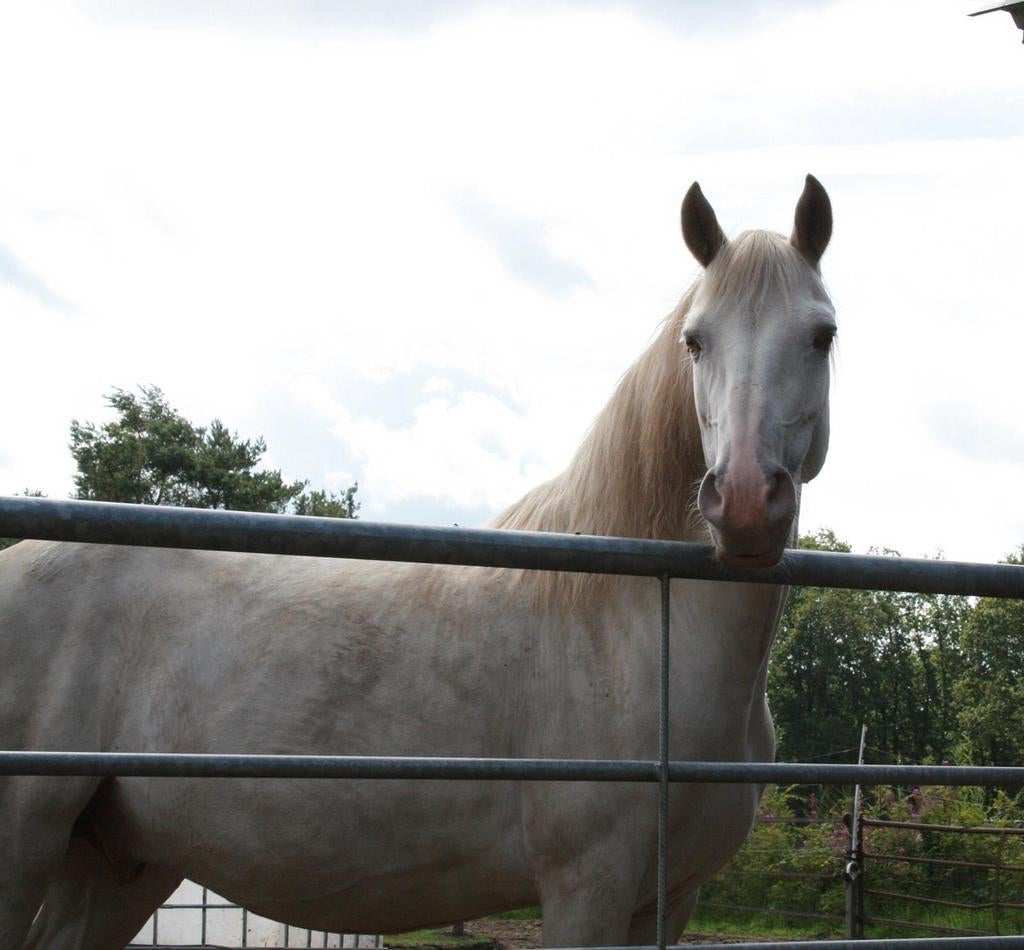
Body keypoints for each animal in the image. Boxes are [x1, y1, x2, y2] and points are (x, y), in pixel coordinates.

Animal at [0, 175, 834, 949]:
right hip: (28, 843)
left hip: (120, 862)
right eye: (696, 340)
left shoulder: (668, 898)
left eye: (822, 335)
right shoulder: (587, 886)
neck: (633, 626)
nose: (746, 499)